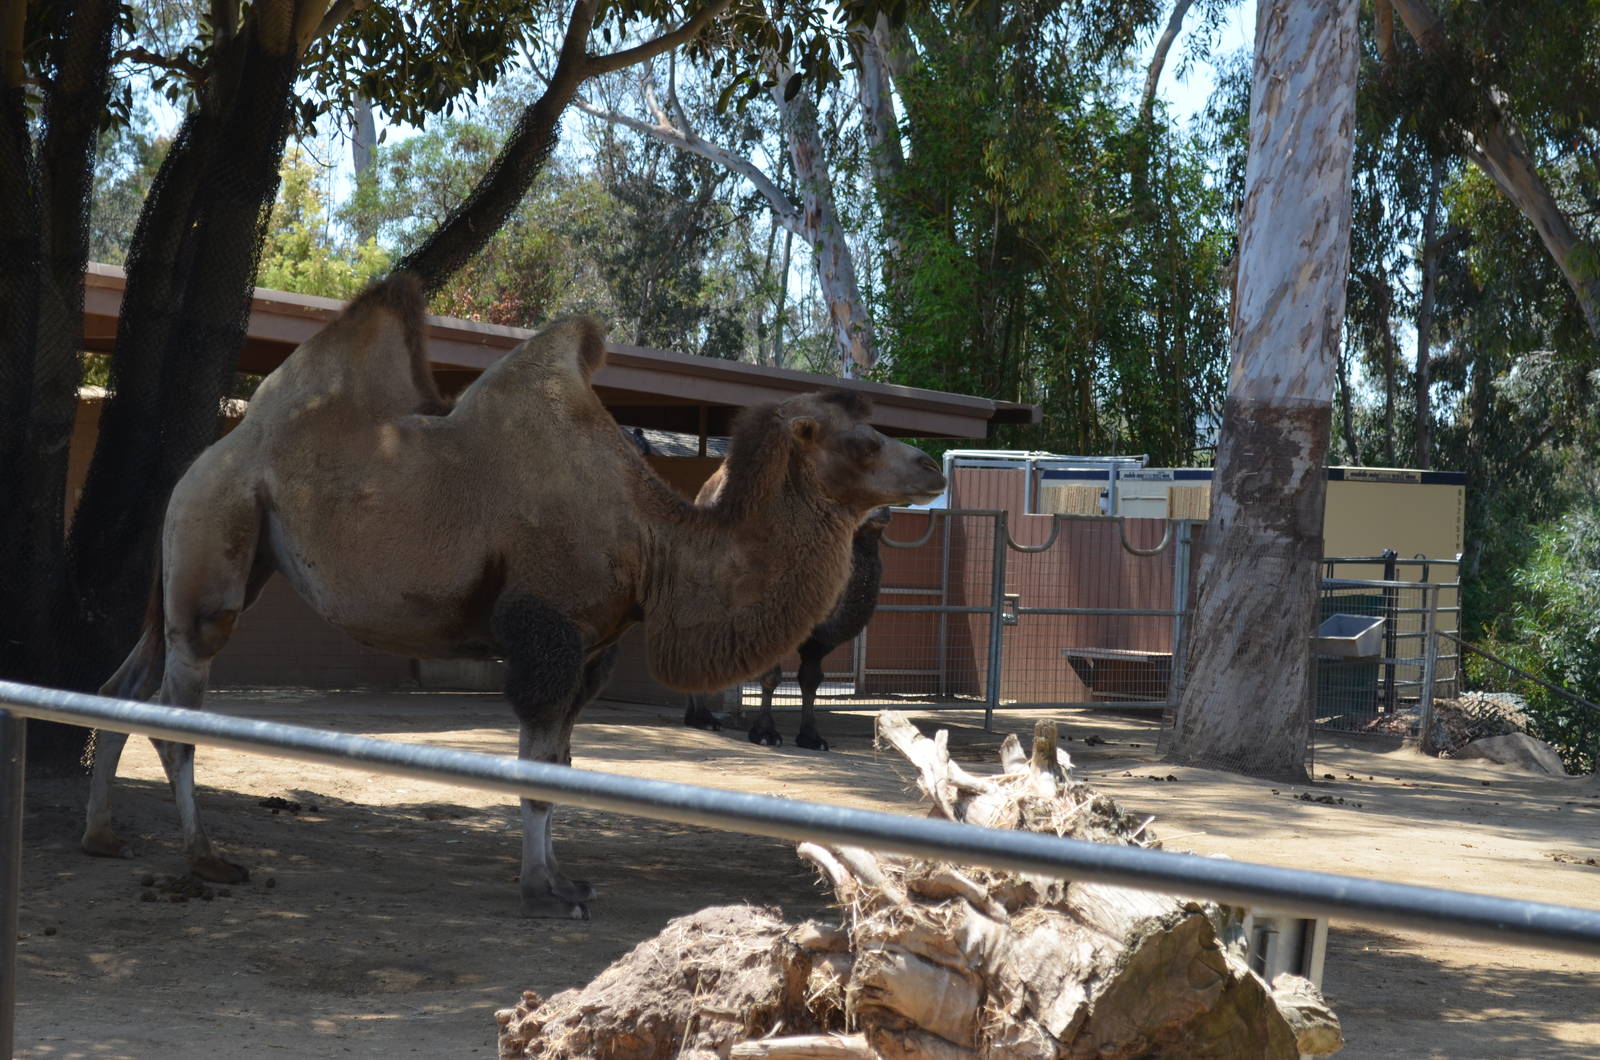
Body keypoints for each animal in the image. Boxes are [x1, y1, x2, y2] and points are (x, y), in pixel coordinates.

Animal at [683, 507, 892, 750]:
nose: (883, 512)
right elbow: (771, 676)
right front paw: (765, 733)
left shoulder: (816, 642)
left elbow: (811, 679)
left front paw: (812, 738)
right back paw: (703, 719)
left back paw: (697, 718)